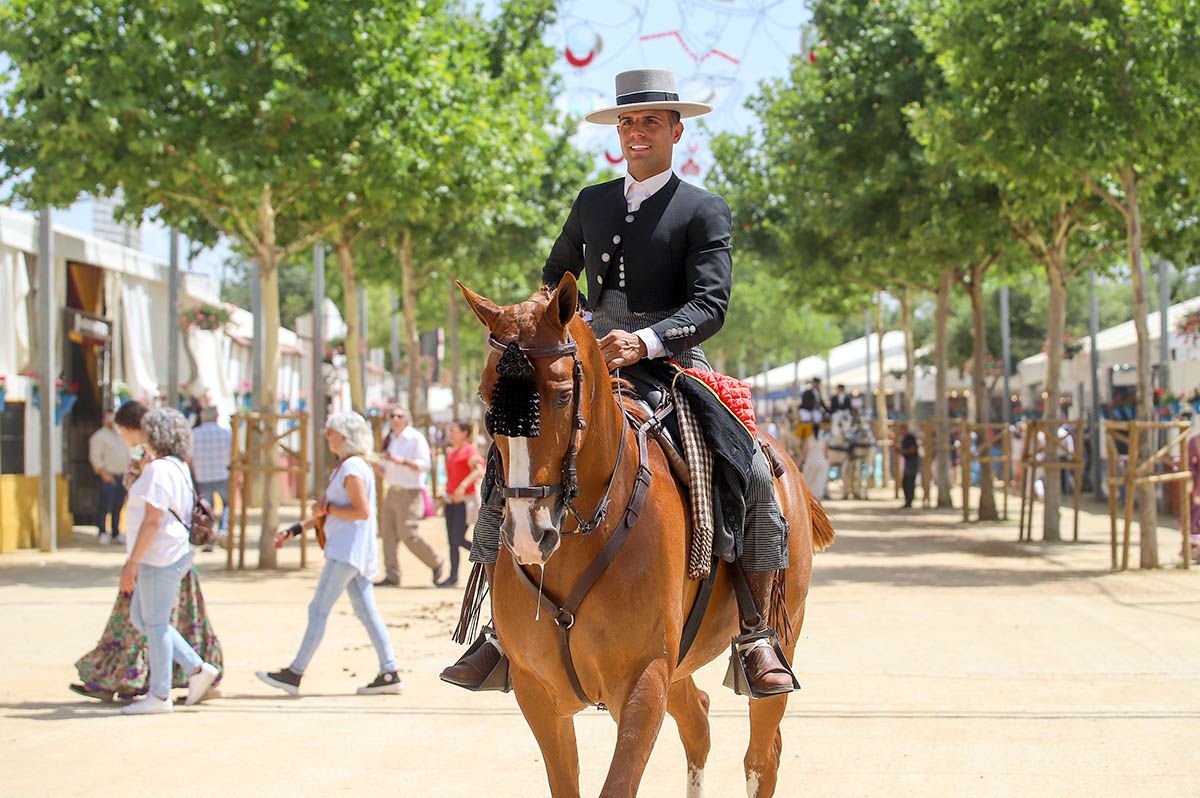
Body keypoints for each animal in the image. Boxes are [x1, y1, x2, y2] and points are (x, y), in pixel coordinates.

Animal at [453, 271, 830, 792]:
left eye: (563, 393)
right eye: (485, 395)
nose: (529, 533)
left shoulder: (643, 683)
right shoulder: (539, 694)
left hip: (777, 635)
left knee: (761, 755)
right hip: (678, 668)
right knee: (698, 722)